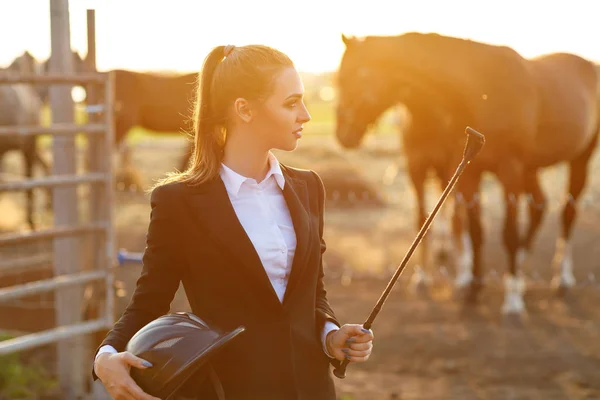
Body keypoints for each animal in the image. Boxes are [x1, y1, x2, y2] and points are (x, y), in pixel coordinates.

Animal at [336, 32, 596, 318]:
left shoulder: (509, 171)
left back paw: (561, 279)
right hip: (530, 169)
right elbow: (474, 229)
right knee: (539, 206)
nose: (343, 135)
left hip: (579, 160)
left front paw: (512, 301)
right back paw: (521, 264)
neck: (481, 92)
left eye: (354, 77)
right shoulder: (466, 172)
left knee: (567, 214)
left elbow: (505, 233)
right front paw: (473, 289)